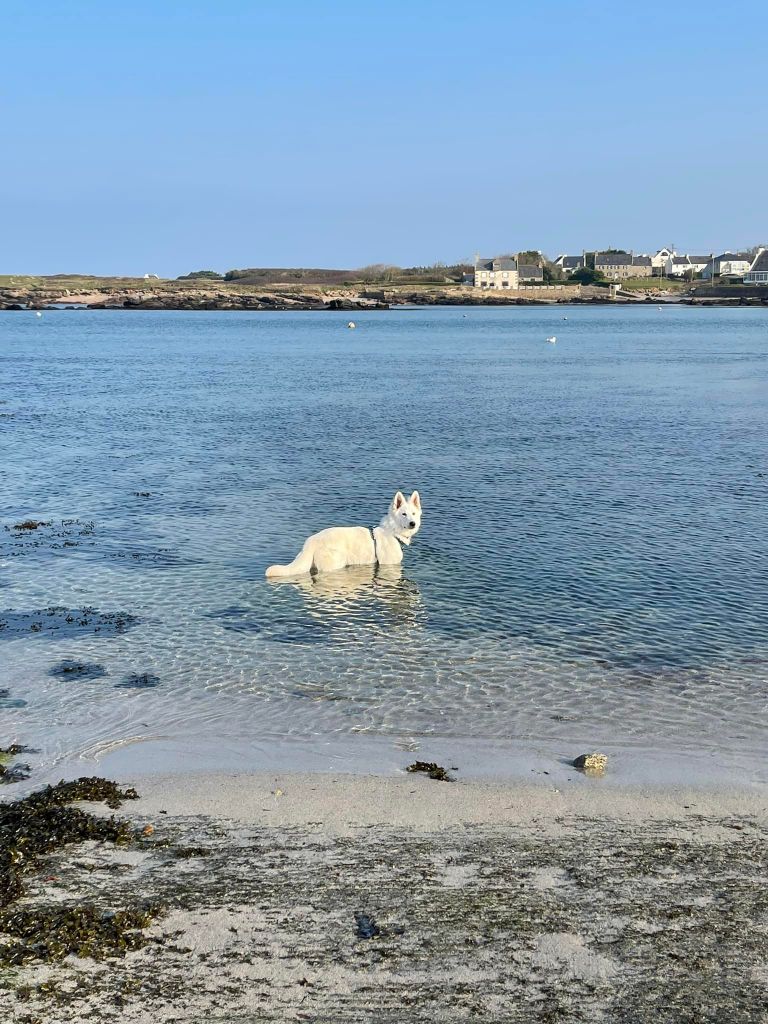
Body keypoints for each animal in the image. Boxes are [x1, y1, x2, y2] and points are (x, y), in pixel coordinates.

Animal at [264, 487, 421, 577]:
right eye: (404, 514)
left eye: (413, 514)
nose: (412, 523)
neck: (392, 532)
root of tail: (310, 542)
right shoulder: (388, 566)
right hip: (337, 562)